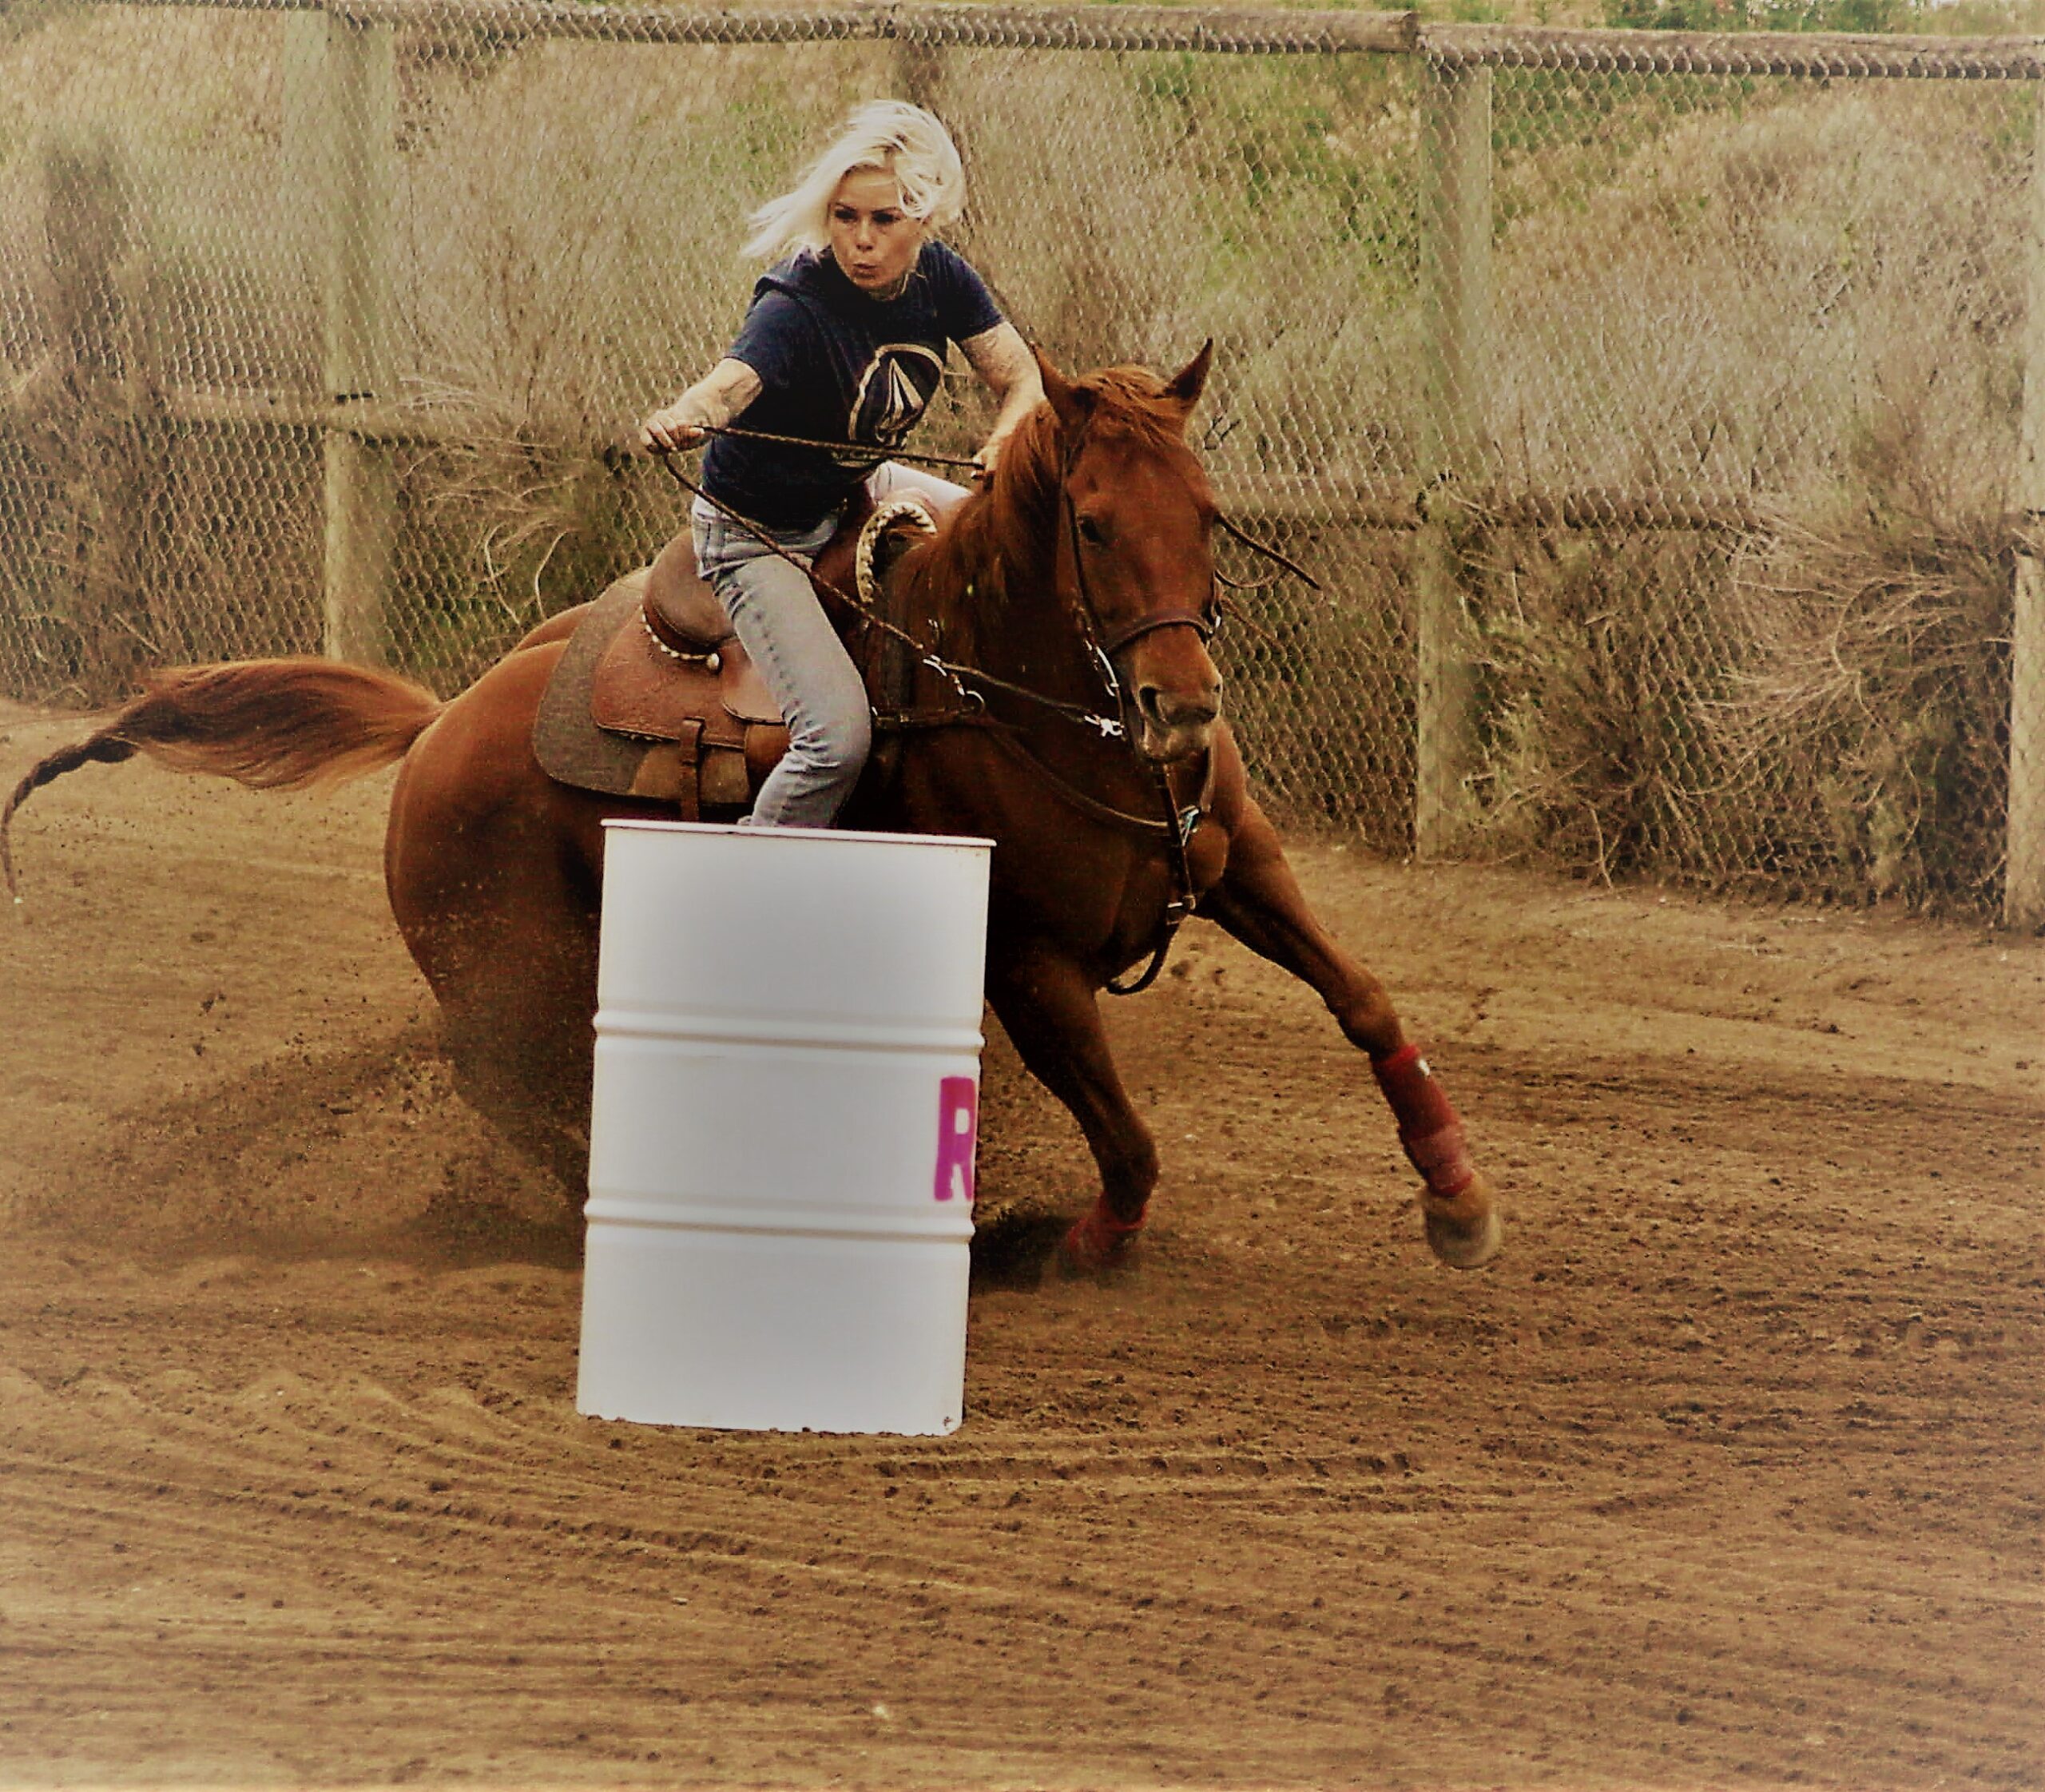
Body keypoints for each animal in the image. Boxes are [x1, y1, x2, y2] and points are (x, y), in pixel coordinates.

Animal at [0, 349, 1505, 1276]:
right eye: (1088, 521)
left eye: (1205, 507)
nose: (1182, 707)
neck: (1019, 696)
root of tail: (435, 730)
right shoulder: (1029, 965)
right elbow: (1128, 1141)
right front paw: (1061, 1248)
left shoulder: (1244, 861)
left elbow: (1365, 997)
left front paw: (1458, 1198)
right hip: (511, 973)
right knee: (512, 1081)